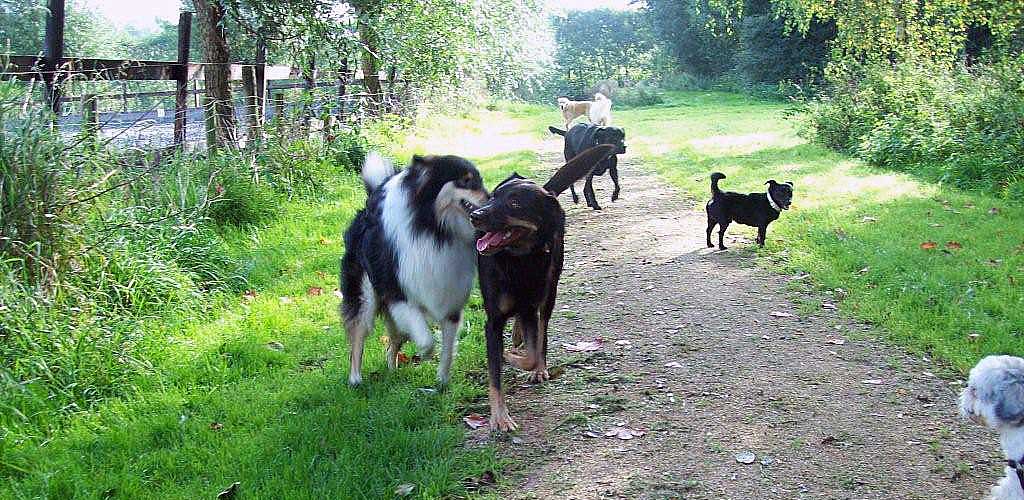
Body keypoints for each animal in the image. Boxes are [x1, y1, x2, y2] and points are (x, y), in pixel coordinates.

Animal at [339, 152, 491, 387]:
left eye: (479, 179)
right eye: (466, 181)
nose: (492, 200)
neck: (436, 230)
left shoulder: (451, 299)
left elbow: (447, 348)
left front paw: (442, 382)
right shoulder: (398, 294)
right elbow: (427, 339)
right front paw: (426, 354)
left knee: (394, 339)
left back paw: (392, 370)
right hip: (365, 295)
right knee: (358, 333)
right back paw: (355, 379)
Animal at [468, 143, 614, 430]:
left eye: (514, 203)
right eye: (493, 197)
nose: (474, 215)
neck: (518, 260)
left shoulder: (531, 305)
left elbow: (532, 353)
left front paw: (513, 357)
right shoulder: (494, 319)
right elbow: (495, 374)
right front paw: (499, 417)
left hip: (549, 293)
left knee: (542, 331)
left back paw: (536, 364)